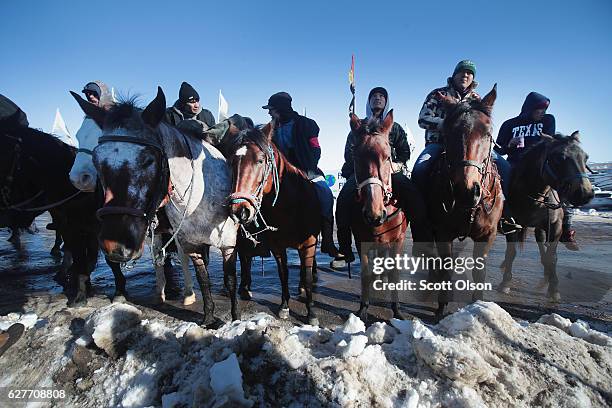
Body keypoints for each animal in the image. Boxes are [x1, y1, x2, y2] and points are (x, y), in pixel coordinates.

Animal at [73, 87, 240, 326]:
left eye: (148, 159)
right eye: (98, 160)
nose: (116, 245)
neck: (199, 196)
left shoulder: (228, 245)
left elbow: (230, 280)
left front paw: (235, 319)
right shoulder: (189, 242)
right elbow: (203, 278)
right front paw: (208, 318)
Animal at [226, 123, 320, 326]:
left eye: (260, 160)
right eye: (231, 162)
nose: (239, 211)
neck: (291, 207)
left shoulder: (308, 244)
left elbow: (308, 276)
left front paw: (311, 313)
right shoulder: (277, 247)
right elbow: (283, 273)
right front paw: (284, 306)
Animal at [346, 111, 408, 322]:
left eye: (388, 156)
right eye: (355, 156)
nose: (374, 214)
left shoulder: (398, 239)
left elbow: (395, 273)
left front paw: (397, 309)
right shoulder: (361, 240)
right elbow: (365, 273)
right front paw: (363, 308)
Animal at [424, 83, 504, 318]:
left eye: (488, 133)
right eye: (448, 132)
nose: (466, 190)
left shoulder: (487, 235)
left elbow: (479, 271)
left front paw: (478, 306)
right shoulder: (442, 233)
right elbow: (446, 267)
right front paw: (442, 306)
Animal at [500, 132, 596, 302]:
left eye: (586, 157)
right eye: (559, 157)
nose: (585, 193)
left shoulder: (556, 226)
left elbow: (552, 257)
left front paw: (554, 288)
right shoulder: (510, 225)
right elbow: (511, 253)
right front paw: (505, 282)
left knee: (543, 247)